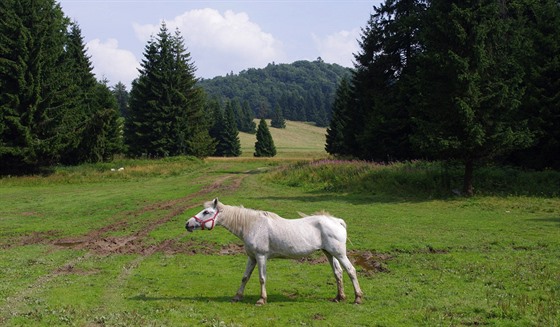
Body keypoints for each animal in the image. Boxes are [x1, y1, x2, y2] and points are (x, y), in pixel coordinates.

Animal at [186, 199, 366, 306]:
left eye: (207, 212)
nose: (187, 224)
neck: (251, 225)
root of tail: (337, 221)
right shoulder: (251, 257)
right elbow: (245, 277)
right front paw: (237, 296)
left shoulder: (261, 257)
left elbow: (262, 278)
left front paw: (261, 299)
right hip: (329, 253)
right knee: (338, 273)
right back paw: (339, 297)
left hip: (339, 253)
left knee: (351, 271)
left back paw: (357, 298)